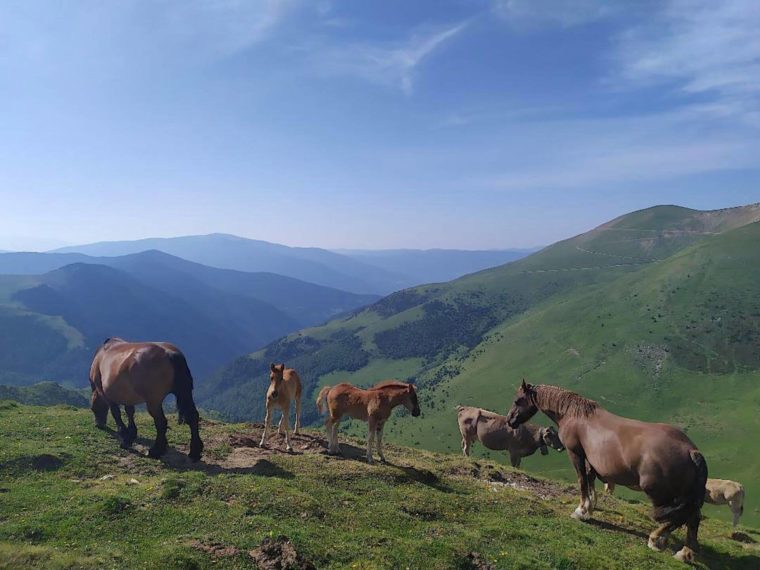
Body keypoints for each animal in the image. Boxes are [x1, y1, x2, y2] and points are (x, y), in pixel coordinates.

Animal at [504, 380, 708, 560]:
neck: (575, 415)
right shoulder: (591, 460)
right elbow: (590, 480)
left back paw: (656, 539)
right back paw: (684, 553)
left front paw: (580, 511)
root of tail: (691, 451)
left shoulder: (575, 453)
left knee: (681, 517)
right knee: (693, 518)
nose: (509, 420)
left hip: (660, 494)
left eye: (518, 400)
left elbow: (582, 480)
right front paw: (589, 509)